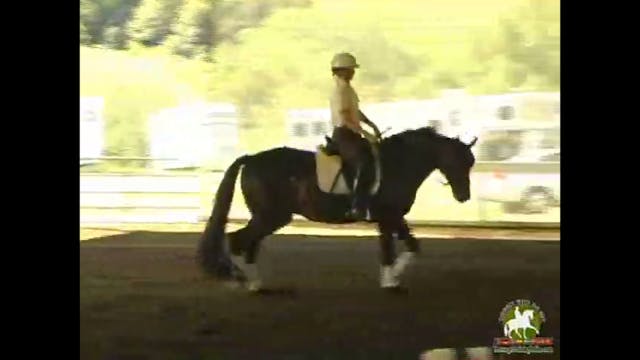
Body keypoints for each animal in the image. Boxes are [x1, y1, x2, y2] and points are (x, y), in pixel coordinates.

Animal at [198, 126, 478, 292]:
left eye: (470, 163)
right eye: (458, 161)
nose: (464, 196)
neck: (398, 163)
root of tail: (251, 159)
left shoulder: (391, 218)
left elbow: (405, 246)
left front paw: (391, 279)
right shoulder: (389, 216)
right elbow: (398, 248)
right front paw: (391, 281)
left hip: (268, 216)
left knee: (249, 242)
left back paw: (254, 282)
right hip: (271, 216)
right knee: (238, 240)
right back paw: (244, 280)